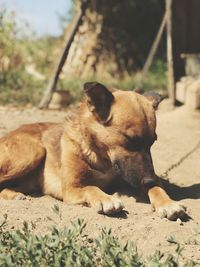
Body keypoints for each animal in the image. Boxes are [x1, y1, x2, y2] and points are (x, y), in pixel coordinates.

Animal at [0, 82, 188, 221]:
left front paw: (168, 202)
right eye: (130, 139)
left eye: (153, 142)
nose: (148, 179)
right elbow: (91, 187)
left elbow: (157, 188)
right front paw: (106, 198)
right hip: (34, 152)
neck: (101, 158)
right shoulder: (72, 188)